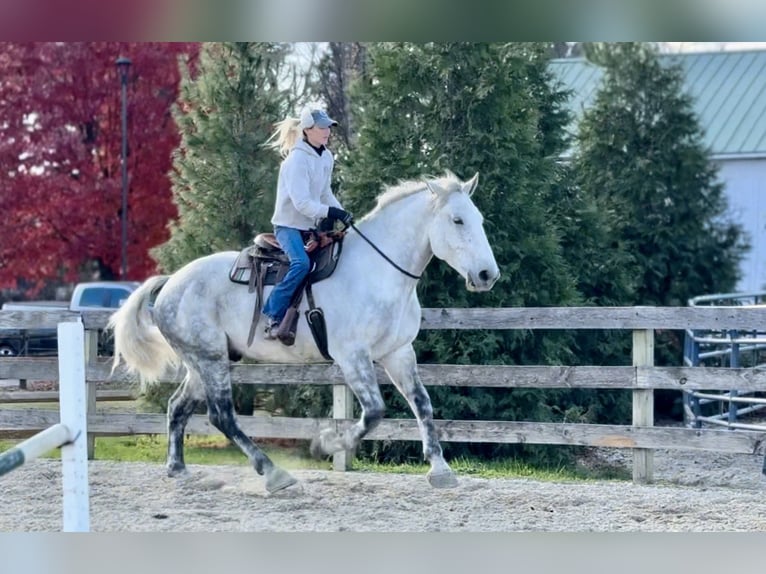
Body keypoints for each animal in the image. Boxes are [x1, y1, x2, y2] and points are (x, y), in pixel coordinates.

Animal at [108, 171, 500, 493]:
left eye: (480, 219)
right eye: (457, 219)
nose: (487, 275)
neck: (377, 272)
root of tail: (171, 282)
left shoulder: (399, 352)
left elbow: (422, 403)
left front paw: (440, 469)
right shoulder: (352, 356)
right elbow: (374, 411)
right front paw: (327, 443)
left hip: (203, 362)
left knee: (178, 407)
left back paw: (179, 469)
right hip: (211, 359)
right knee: (222, 416)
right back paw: (274, 473)